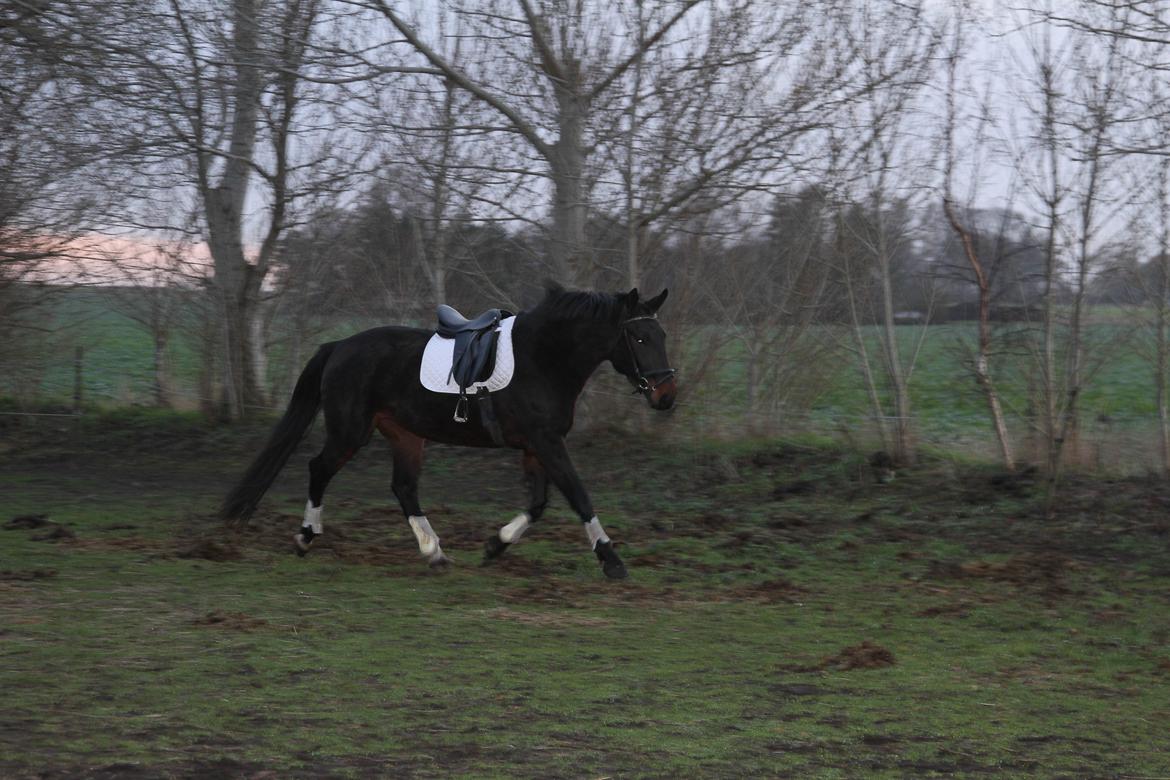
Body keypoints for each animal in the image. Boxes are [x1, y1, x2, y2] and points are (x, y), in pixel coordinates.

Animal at [219, 286, 678, 580]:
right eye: (639, 337)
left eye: (662, 335)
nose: (666, 396)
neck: (545, 358)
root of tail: (340, 346)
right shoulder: (546, 442)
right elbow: (578, 496)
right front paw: (611, 560)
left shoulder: (535, 446)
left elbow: (538, 504)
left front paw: (495, 545)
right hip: (351, 431)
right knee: (319, 469)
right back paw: (305, 537)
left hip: (405, 435)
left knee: (403, 487)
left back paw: (434, 552)